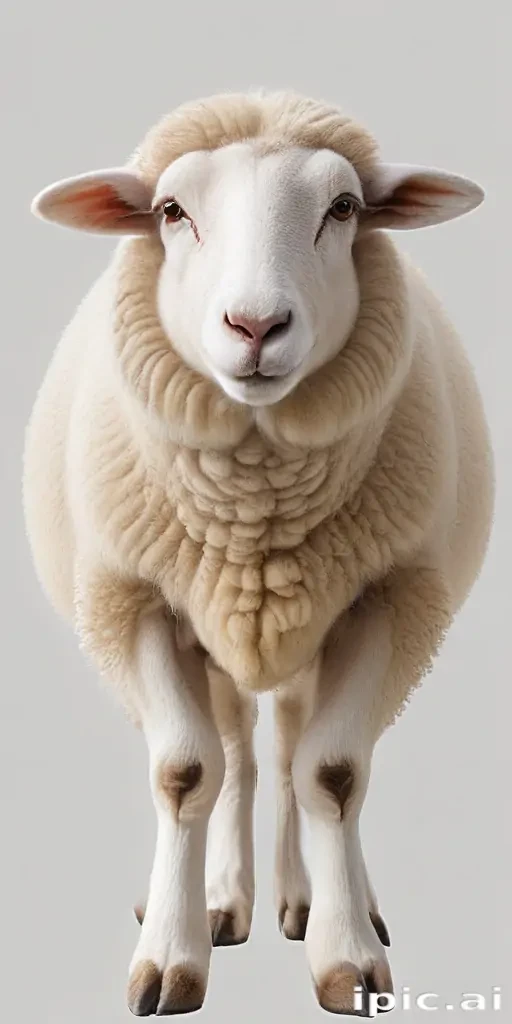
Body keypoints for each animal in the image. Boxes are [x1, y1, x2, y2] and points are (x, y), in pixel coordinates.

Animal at [23, 90, 494, 1017]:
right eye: (172, 212)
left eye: (343, 208)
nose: (256, 325)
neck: (256, 511)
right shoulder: (133, 602)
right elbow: (185, 772)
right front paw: (171, 959)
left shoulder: (389, 602)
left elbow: (334, 773)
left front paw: (347, 958)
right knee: (240, 754)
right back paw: (221, 901)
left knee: (289, 753)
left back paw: (314, 900)